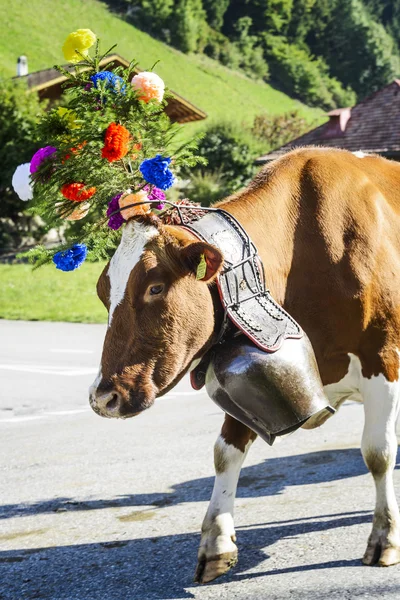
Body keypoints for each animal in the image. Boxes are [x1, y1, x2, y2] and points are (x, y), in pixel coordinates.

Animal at [89, 148, 400, 584]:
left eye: (155, 287)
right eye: (103, 291)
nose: (103, 397)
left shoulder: (384, 358)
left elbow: (378, 452)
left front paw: (385, 537)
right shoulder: (244, 371)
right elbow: (225, 452)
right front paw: (216, 543)